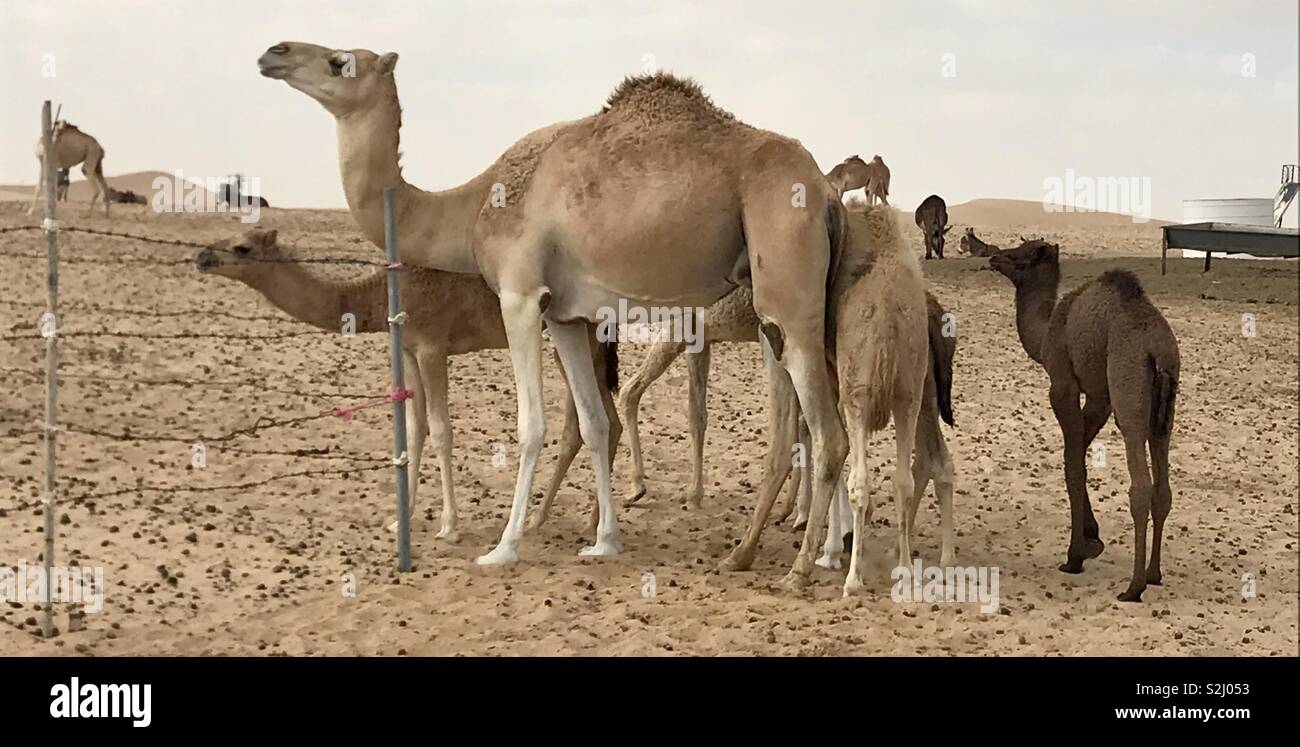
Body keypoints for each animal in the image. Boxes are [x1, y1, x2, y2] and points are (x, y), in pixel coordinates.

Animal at [194, 228, 621, 544]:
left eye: (242, 247)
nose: (201, 256)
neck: (380, 293)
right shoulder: (410, 351)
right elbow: (415, 430)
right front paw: (401, 519)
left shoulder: (433, 347)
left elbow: (441, 430)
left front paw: (449, 526)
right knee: (600, 421)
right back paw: (555, 519)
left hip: (582, 332)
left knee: (591, 422)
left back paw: (582, 522)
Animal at [259, 43, 849, 584]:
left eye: (340, 62)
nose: (273, 54)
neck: (473, 205)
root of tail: (825, 192)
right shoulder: (564, 316)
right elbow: (593, 422)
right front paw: (604, 541)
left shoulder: (519, 295)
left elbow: (531, 425)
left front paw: (503, 546)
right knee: (813, 424)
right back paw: (795, 551)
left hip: (786, 282)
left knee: (827, 433)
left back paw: (802, 566)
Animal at [719, 206, 950, 594]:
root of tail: (890, 318)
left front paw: (828, 551)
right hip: (910, 392)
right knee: (908, 475)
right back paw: (906, 568)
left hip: (861, 391)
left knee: (858, 473)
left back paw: (852, 579)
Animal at [990, 240, 1179, 602]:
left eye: (1020, 255)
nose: (993, 257)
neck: (1047, 332)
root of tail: (1157, 350)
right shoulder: (1099, 396)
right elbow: (1078, 452)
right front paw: (1093, 539)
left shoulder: (1063, 383)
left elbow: (1073, 466)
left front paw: (1075, 555)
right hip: (1166, 409)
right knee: (1163, 485)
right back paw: (1154, 574)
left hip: (1128, 387)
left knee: (1140, 483)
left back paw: (1133, 587)